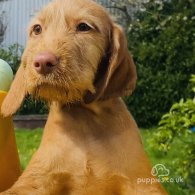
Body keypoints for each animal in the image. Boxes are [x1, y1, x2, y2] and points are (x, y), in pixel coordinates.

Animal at [0, 0, 167, 194]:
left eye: (83, 27)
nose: (42, 62)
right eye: (37, 29)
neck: (85, 116)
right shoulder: (35, 180)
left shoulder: (143, 183)